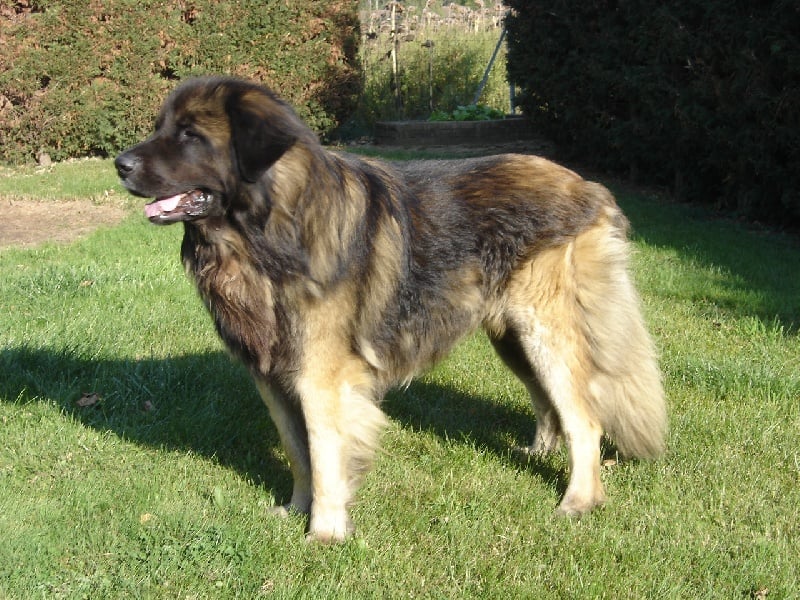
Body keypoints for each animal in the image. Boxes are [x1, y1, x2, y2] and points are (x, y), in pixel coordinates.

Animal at [115, 76, 666, 542]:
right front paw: (296, 509)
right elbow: (297, 452)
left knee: (584, 417)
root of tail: (588, 186)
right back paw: (538, 452)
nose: (120, 164)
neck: (265, 236)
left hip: (545, 330)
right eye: (160, 127)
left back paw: (579, 500)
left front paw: (325, 532)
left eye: (190, 135)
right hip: (511, 336)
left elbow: (324, 454)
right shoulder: (272, 375)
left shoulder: (321, 377)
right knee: (549, 402)